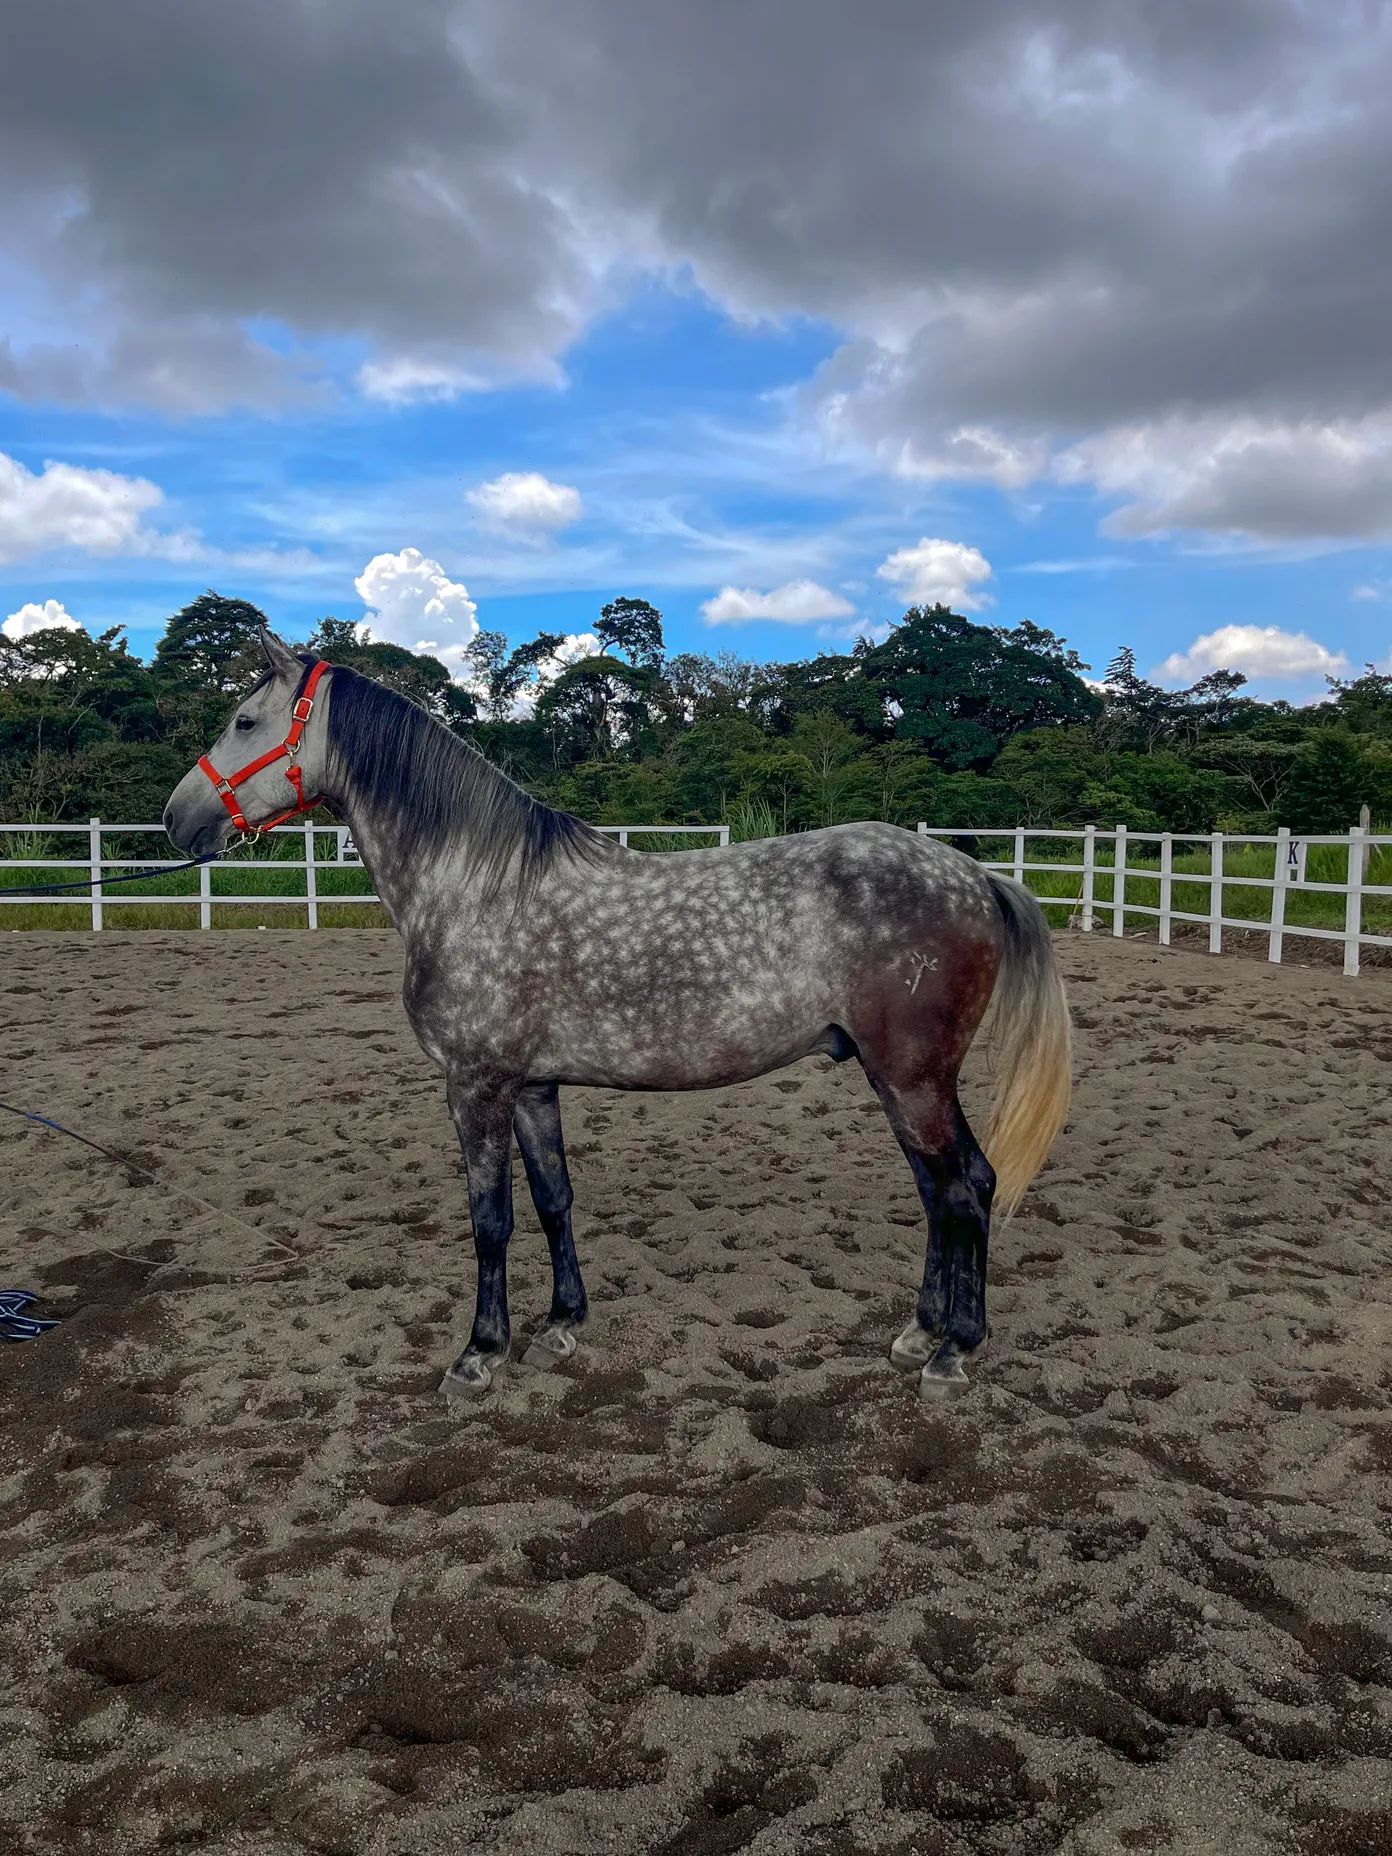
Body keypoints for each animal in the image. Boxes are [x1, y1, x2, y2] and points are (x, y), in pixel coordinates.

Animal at [164, 630, 1071, 1404]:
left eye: (245, 720)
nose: (179, 818)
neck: (473, 885)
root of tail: (976, 876)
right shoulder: (533, 1087)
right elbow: (553, 1199)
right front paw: (561, 1325)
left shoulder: (476, 1086)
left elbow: (489, 1220)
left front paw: (477, 1355)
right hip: (901, 1081)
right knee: (941, 1190)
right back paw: (920, 1334)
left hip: (913, 1079)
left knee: (966, 1189)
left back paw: (954, 1352)